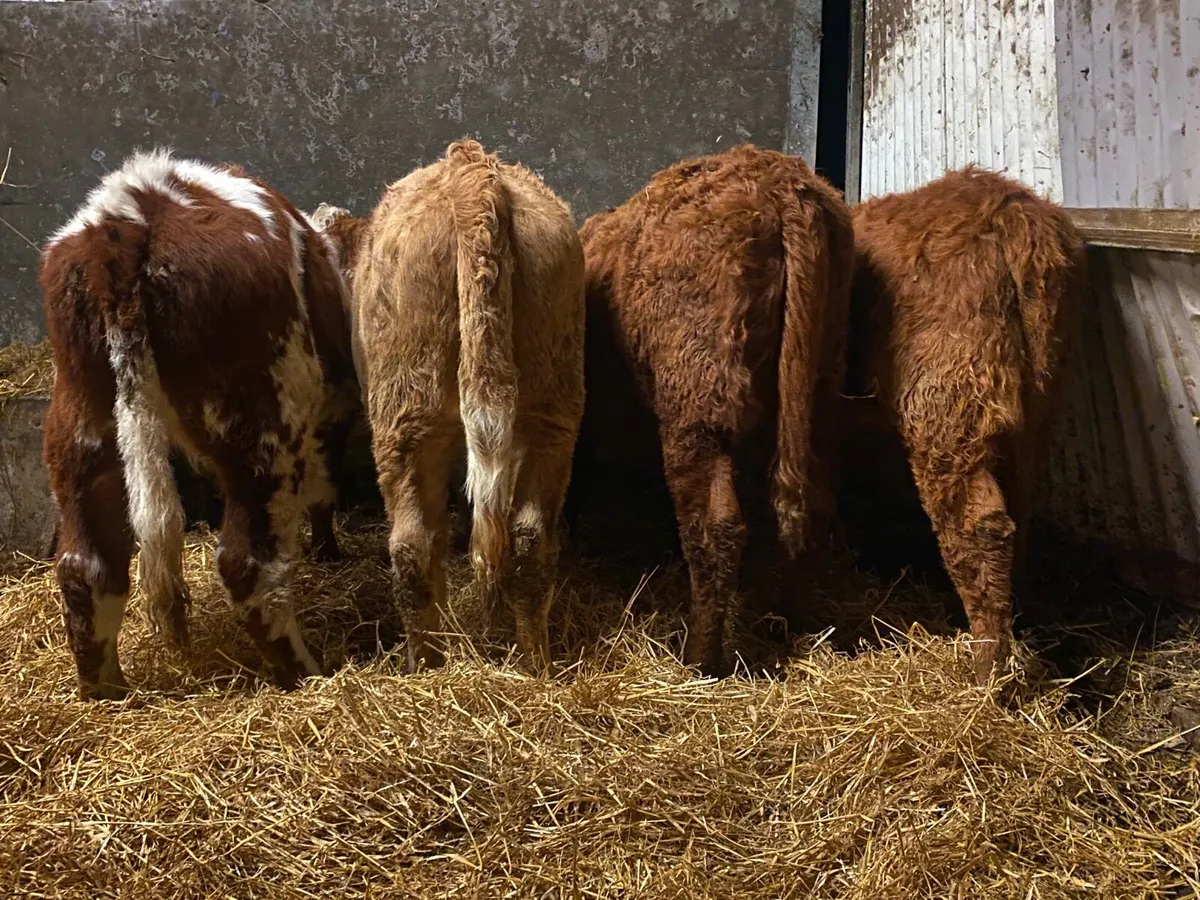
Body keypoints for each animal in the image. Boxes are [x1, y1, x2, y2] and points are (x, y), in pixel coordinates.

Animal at [40, 149, 360, 700]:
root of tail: (127, 216)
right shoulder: (332, 413)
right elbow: (324, 491)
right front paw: (327, 549)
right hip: (263, 427)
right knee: (248, 564)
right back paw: (305, 674)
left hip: (81, 425)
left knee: (87, 568)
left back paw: (107, 692)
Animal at [316, 140, 585, 673]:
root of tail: (471, 170)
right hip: (553, 409)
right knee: (530, 541)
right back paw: (535, 667)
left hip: (405, 415)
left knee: (412, 546)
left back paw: (425, 664)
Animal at [575, 144, 855, 677]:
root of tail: (779, 183)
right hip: (821, 392)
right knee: (812, 507)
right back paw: (793, 623)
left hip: (697, 409)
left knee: (714, 526)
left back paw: (701, 659)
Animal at [846, 166, 1087, 685]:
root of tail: (1009, 207)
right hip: (1034, 412)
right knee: (1018, 515)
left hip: (951, 413)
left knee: (979, 531)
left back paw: (986, 673)